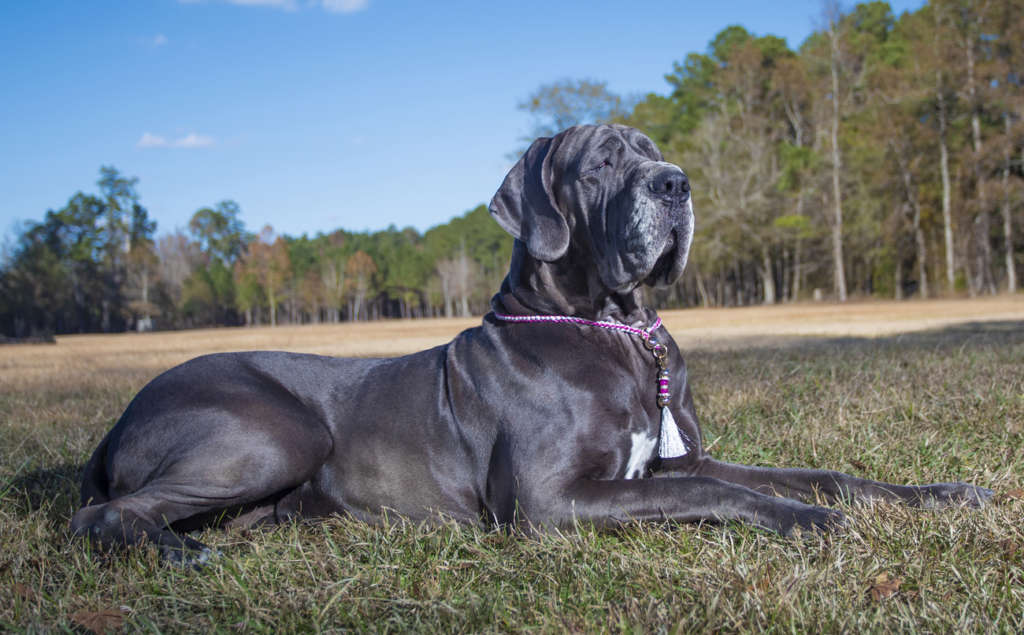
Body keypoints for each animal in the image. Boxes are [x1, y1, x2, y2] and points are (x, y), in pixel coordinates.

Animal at [70, 125, 991, 565]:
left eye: (656, 154)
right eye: (600, 166)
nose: (676, 184)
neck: (617, 327)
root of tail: (115, 420)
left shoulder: (677, 457)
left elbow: (809, 469)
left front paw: (940, 492)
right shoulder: (552, 501)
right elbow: (726, 493)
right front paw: (807, 520)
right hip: (275, 431)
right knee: (101, 512)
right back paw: (184, 556)